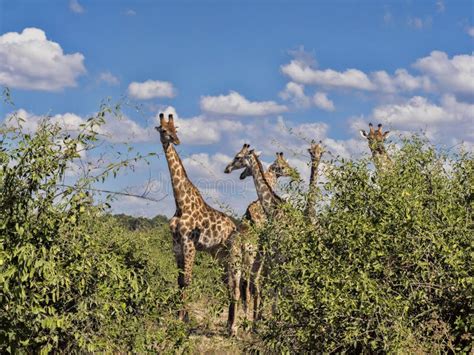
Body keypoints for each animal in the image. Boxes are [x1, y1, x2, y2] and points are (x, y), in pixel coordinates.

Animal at [156, 113, 243, 336]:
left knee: (236, 286)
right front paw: (183, 318)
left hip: (233, 255)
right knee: (228, 283)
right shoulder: (176, 244)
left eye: (176, 129)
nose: (176, 140)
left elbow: (187, 280)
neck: (180, 203)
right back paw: (228, 325)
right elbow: (180, 281)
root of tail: (235, 228)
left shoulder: (190, 244)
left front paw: (180, 320)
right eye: (164, 130)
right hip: (219, 256)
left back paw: (234, 329)